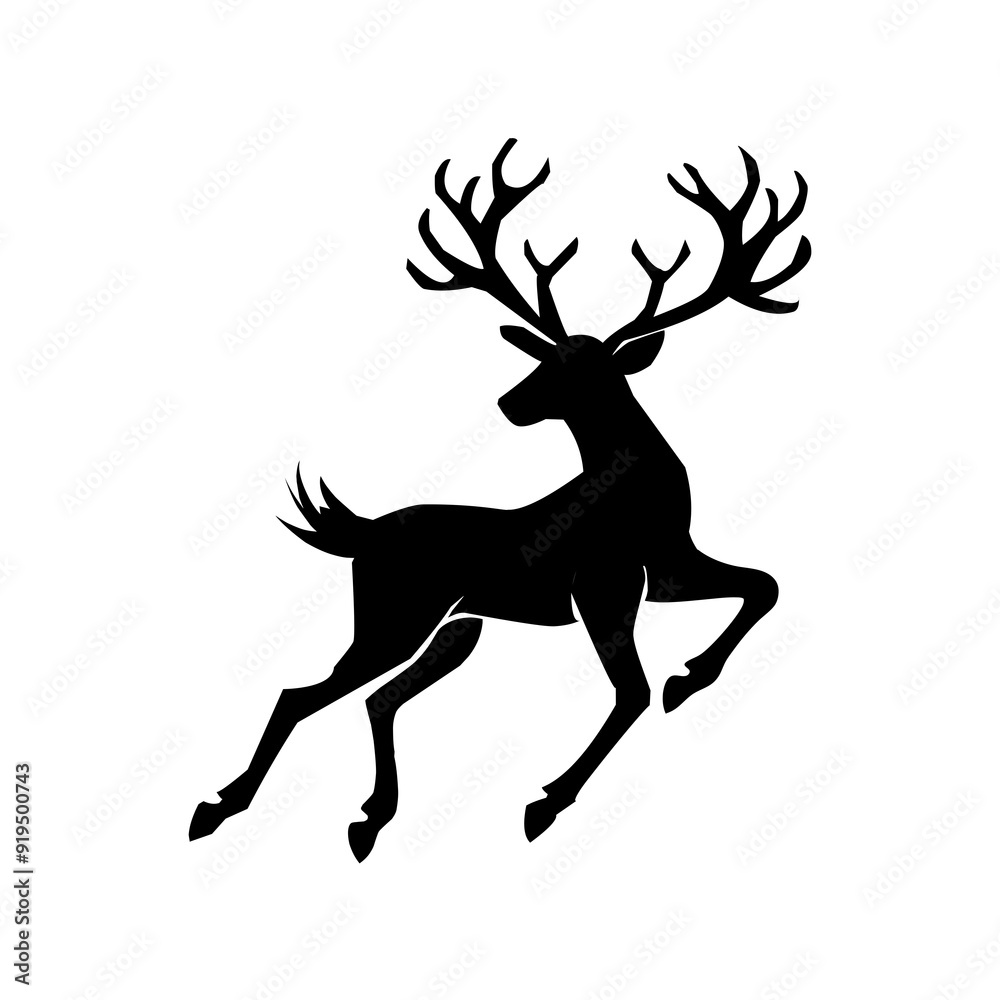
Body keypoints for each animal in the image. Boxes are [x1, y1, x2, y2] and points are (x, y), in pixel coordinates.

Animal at [189, 139, 811, 861]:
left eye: (586, 370)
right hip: (395, 615)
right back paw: (217, 807)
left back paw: (368, 819)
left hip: (457, 627)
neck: (639, 497)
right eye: (547, 357)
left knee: (377, 698)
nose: (509, 402)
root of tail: (361, 533)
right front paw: (547, 802)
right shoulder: (603, 581)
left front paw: (690, 677)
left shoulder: (667, 567)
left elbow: (763, 585)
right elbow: (633, 692)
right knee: (303, 692)